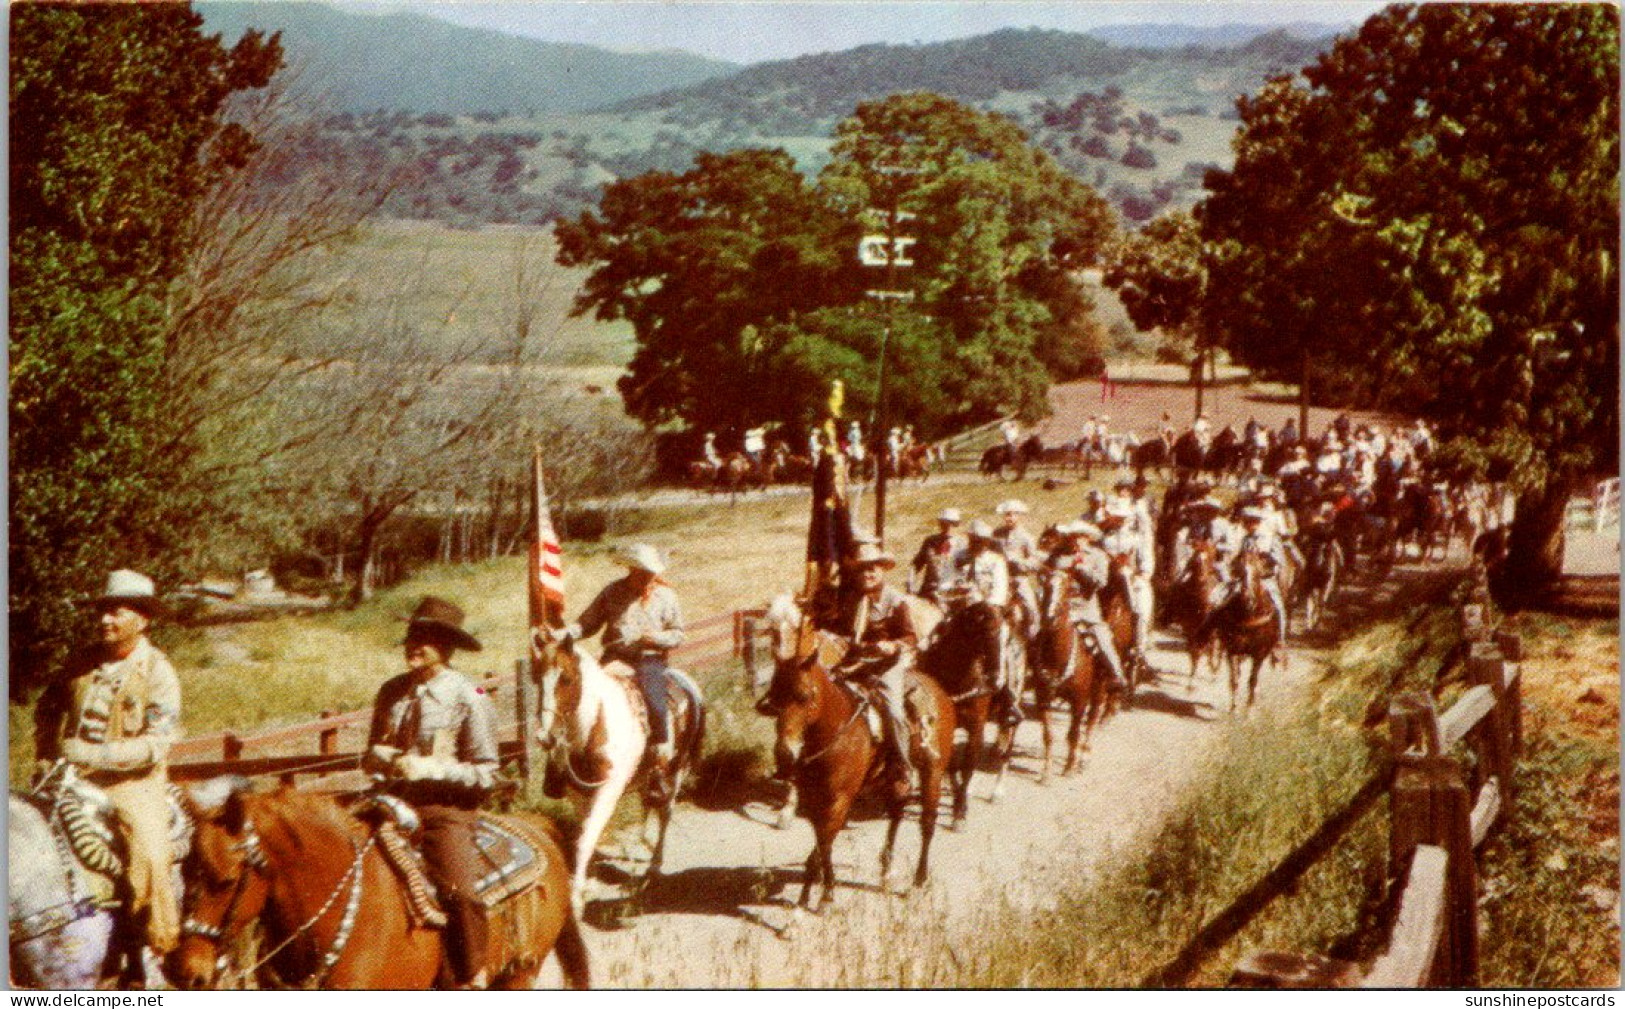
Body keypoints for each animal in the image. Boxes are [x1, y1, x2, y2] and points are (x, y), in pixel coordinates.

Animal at [533, 636, 705, 922]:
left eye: (566, 679)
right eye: (536, 679)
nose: (544, 738)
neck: (596, 726)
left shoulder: (607, 793)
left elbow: (586, 839)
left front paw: (577, 901)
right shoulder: (579, 796)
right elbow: (585, 837)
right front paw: (587, 883)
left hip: (676, 770)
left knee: (665, 813)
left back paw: (654, 864)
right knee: (649, 804)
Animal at [757, 594, 955, 909]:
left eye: (804, 696)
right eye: (776, 696)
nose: (786, 753)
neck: (835, 733)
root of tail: (939, 691)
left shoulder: (840, 798)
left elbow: (826, 838)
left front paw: (825, 895)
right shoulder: (813, 798)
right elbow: (821, 838)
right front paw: (807, 892)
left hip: (933, 771)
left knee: (927, 823)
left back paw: (918, 881)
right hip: (894, 778)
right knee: (897, 811)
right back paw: (886, 869)